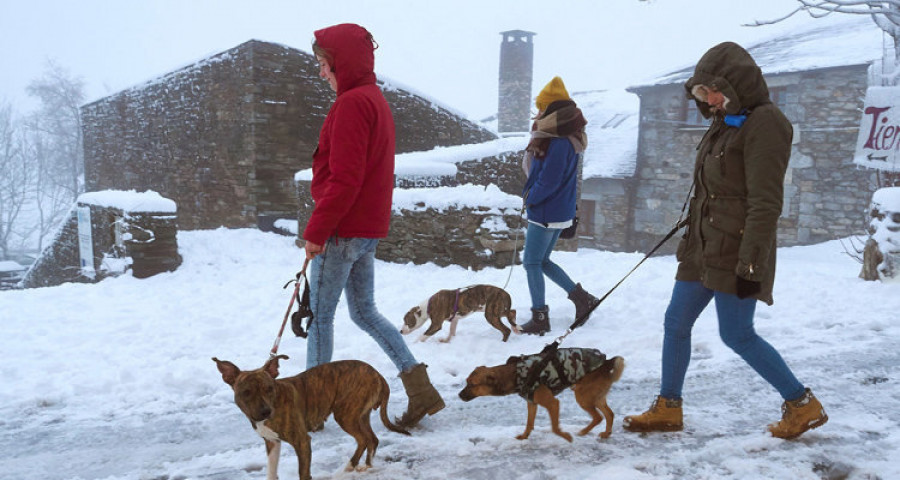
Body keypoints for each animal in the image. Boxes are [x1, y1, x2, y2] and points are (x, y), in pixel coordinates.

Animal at [211, 352, 408, 480]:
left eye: (269, 388)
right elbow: (271, 472)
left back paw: (349, 467)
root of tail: (378, 375)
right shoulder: (272, 442)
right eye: (246, 392)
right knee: (372, 439)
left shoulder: (302, 441)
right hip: (360, 415)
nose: (266, 412)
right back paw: (365, 466)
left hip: (346, 414)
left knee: (363, 439)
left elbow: (303, 473)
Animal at [460, 346, 624, 440]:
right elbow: (529, 423)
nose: (459, 395)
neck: (515, 374)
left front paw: (565, 437)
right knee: (609, 414)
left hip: (582, 396)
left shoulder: (553, 403)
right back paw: (606, 433)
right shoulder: (532, 403)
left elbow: (555, 427)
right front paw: (525, 436)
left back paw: (583, 432)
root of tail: (607, 362)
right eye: (466, 381)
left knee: (598, 417)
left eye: (472, 384)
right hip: (595, 396)